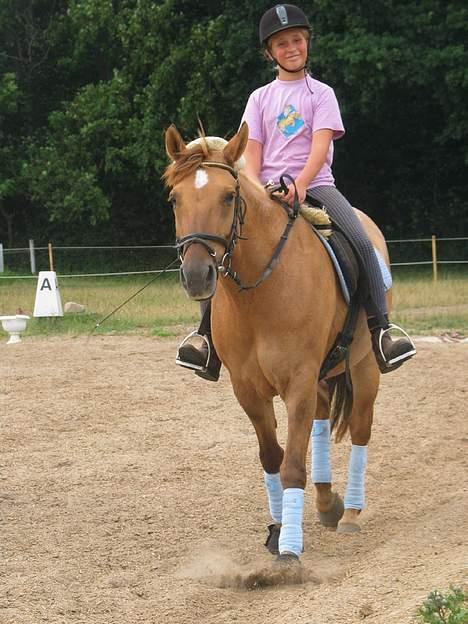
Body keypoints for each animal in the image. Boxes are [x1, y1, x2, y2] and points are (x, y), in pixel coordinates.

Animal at [165, 123, 388, 564]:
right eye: (175, 199)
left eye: (228, 196)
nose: (197, 276)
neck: (259, 294)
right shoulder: (248, 388)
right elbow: (273, 457)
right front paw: (279, 528)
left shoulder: (298, 381)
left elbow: (292, 466)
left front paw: (288, 550)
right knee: (321, 421)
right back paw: (325, 503)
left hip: (363, 366)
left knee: (360, 428)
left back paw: (351, 512)